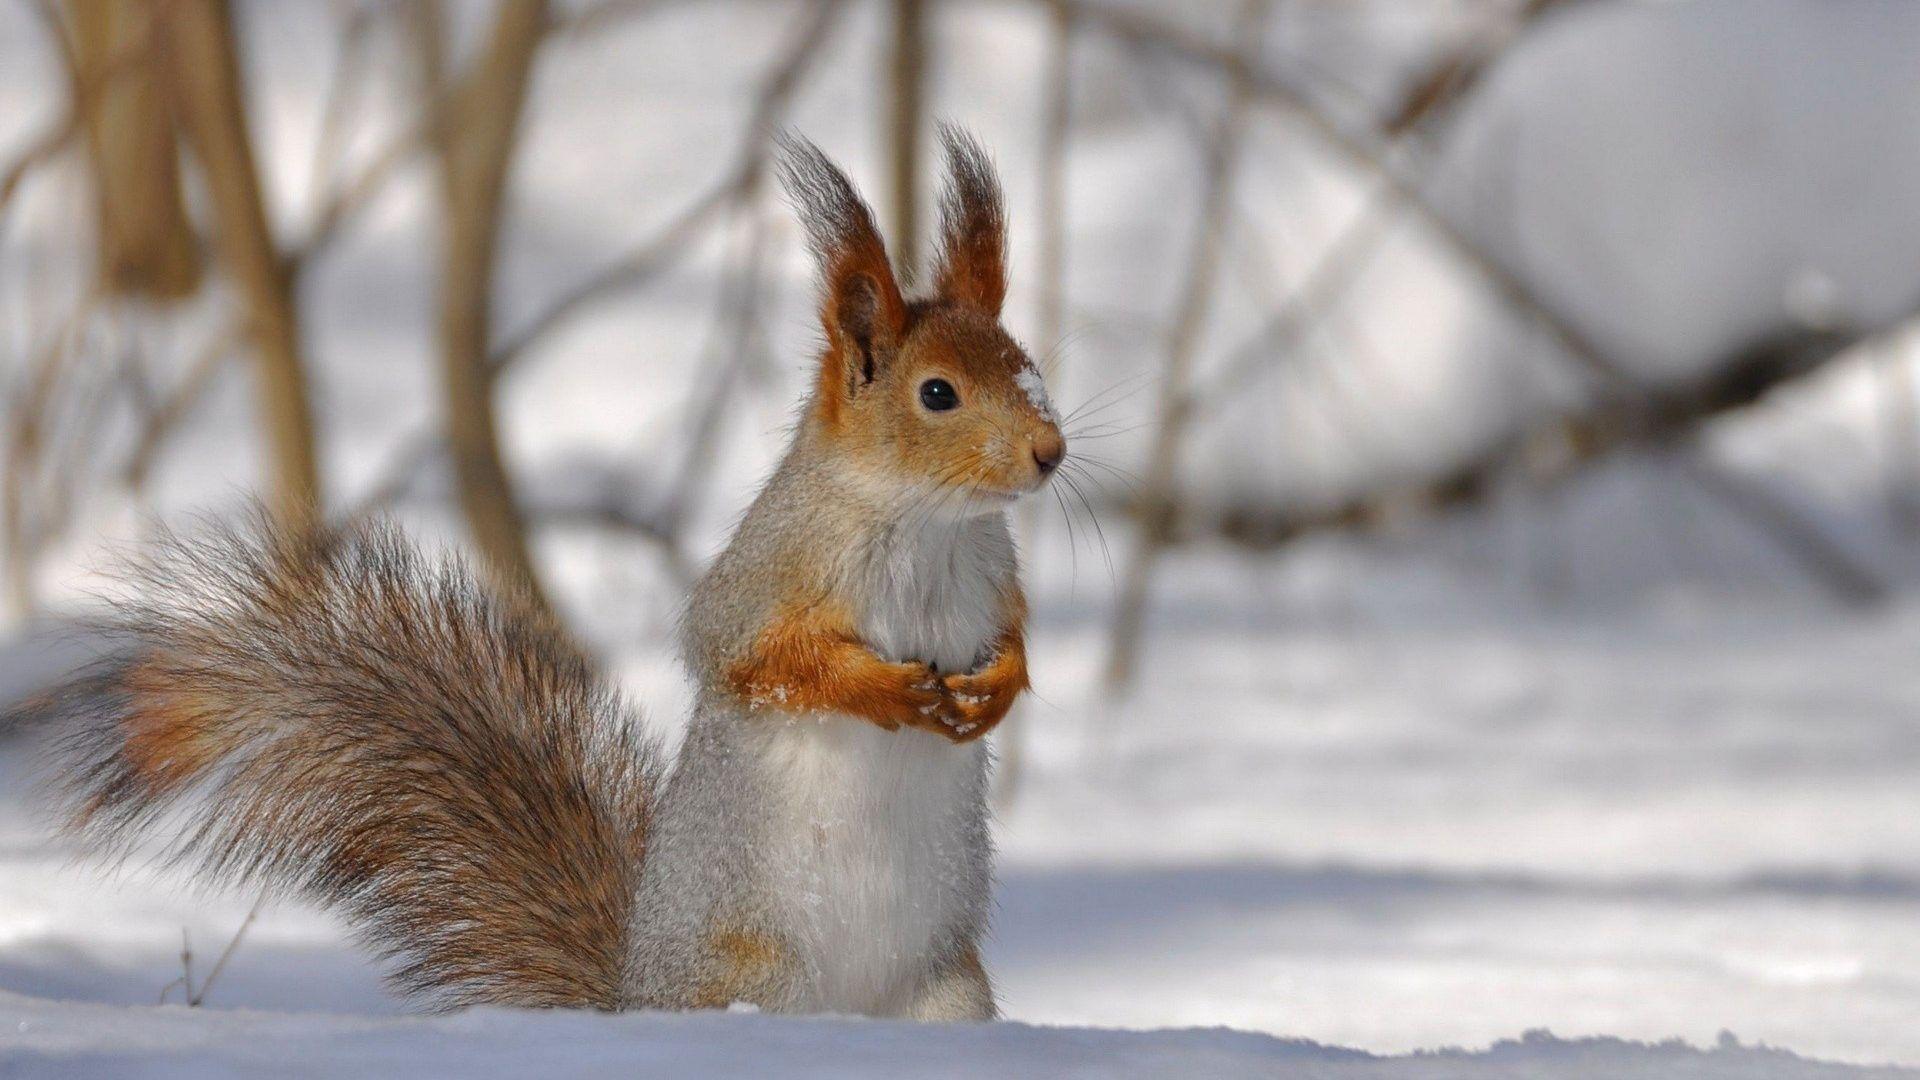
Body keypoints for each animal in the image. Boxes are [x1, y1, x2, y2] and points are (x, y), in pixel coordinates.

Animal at [26, 127, 1064, 1021]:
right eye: (937, 393)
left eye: (1029, 366)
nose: (1051, 453)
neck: (926, 524)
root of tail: (635, 1000)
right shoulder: (767, 574)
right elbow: (750, 660)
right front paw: (887, 691)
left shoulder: (993, 574)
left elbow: (1012, 637)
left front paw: (997, 689)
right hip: (760, 973)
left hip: (947, 991)